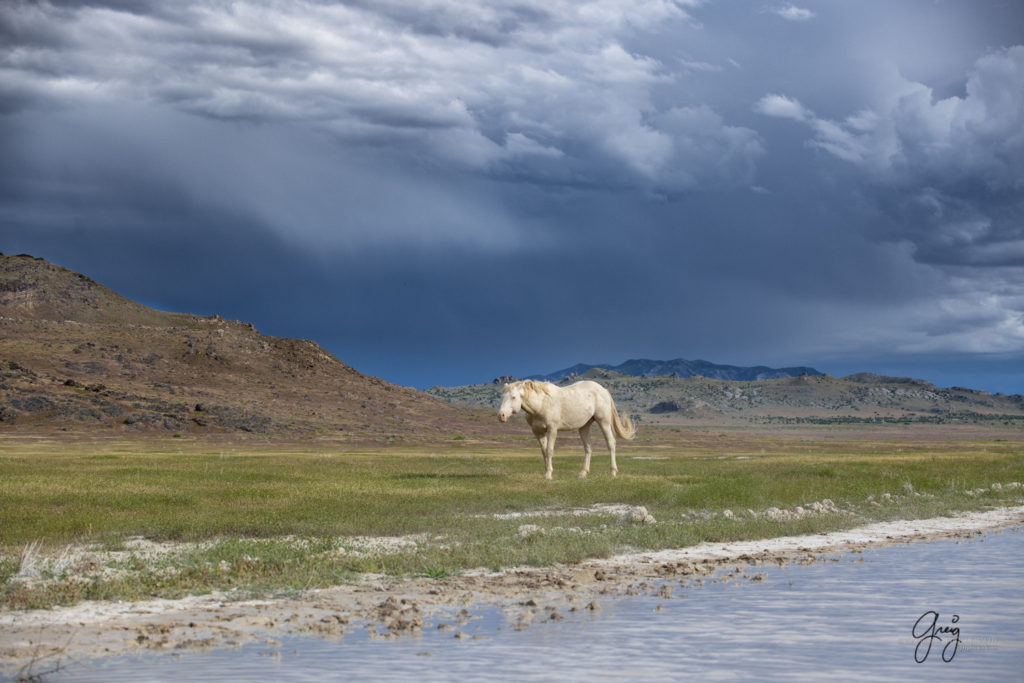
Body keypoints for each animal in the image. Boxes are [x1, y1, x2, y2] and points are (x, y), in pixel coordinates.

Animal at [497, 378, 634, 481]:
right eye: (502, 397)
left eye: (513, 397)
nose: (501, 416)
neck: (541, 404)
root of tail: (603, 390)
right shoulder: (538, 432)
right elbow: (544, 452)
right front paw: (546, 472)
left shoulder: (552, 429)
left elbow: (549, 451)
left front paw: (548, 475)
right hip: (584, 427)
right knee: (588, 448)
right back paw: (583, 473)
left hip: (603, 422)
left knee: (611, 444)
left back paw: (613, 472)